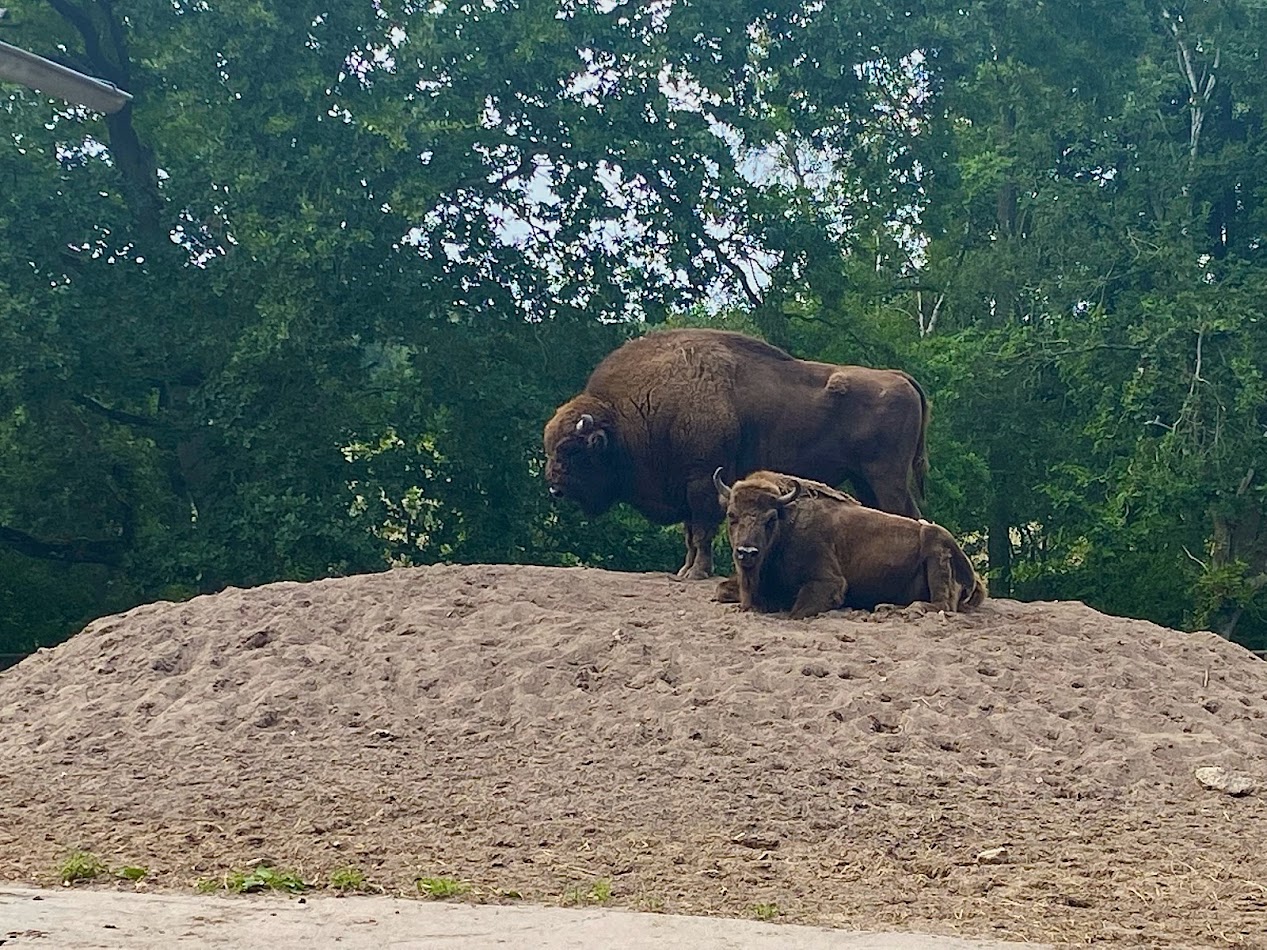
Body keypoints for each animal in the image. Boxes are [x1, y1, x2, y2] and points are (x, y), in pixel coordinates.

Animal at [543, 329, 930, 579]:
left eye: (571, 449)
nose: (554, 487)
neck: (629, 414)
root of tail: (900, 377)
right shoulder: (687, 485)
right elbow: (690, 533)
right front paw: (685, 570)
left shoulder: (701, 480)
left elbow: (701, 530)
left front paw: (696, 573)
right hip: (864, 478)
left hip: (886, 476)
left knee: (906, 514)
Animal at [713, 469, 986, 619]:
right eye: (731, 515)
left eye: (770, 519)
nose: (747, 552)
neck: (787, 522)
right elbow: (720, 590)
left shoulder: (828, 582)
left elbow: (798, 610)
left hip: (934, 544)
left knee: (941, 605)